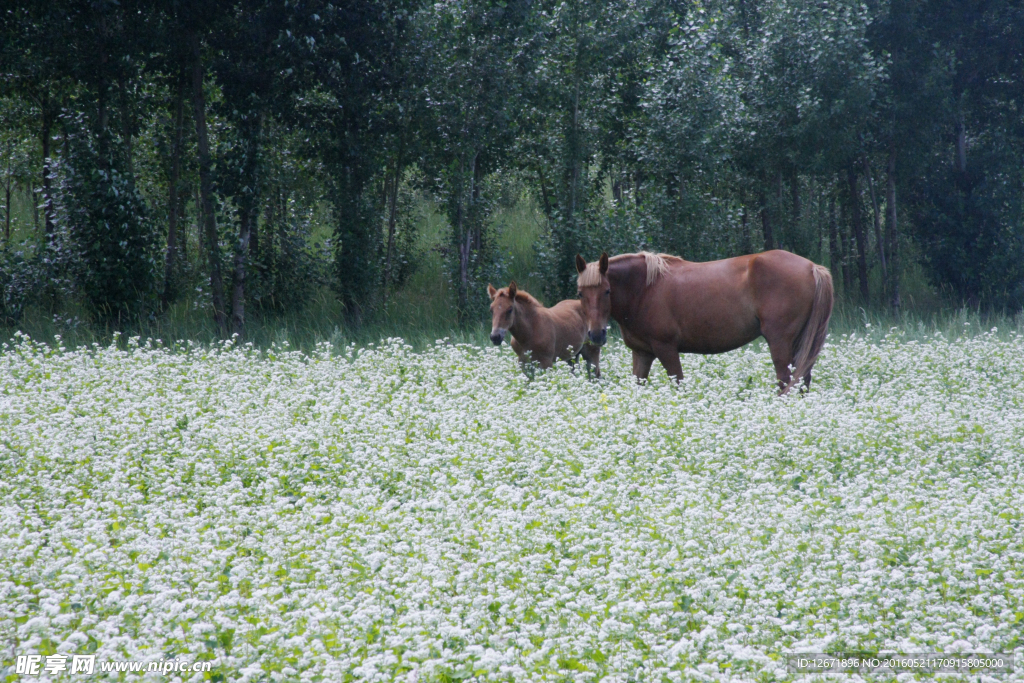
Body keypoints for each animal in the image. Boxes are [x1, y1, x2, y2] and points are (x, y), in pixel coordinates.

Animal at [577, 250, 831, 393]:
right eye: (580, 293)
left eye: (607, 291)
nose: (596, 335)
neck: (644, 288)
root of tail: (812, 267)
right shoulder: (642, 353)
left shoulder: (666, 349)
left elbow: (679, 384)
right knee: (803, 380)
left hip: (780, 343)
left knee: (786, 381)